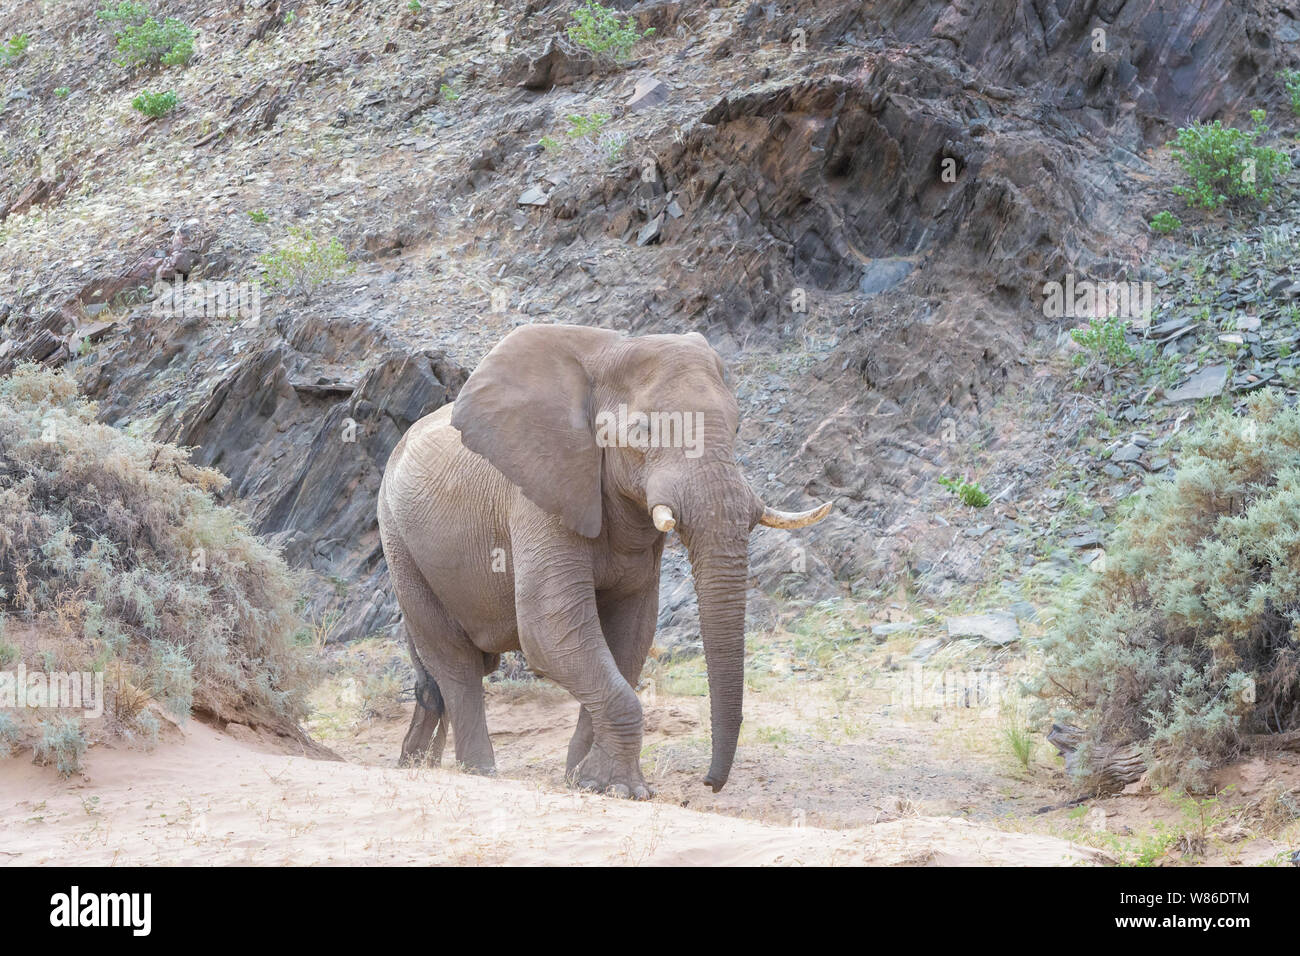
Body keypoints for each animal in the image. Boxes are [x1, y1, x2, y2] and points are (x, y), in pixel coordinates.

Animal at [376, 323, 830, 797]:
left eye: (737, 426)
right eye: (643, 431)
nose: (710, 783)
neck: (610, 350)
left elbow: (631, 633)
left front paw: (585, 780)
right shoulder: (541, 490)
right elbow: (551, 629)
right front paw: (621, 789)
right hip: (399, 542)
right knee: (455, 663)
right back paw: (479, 772)